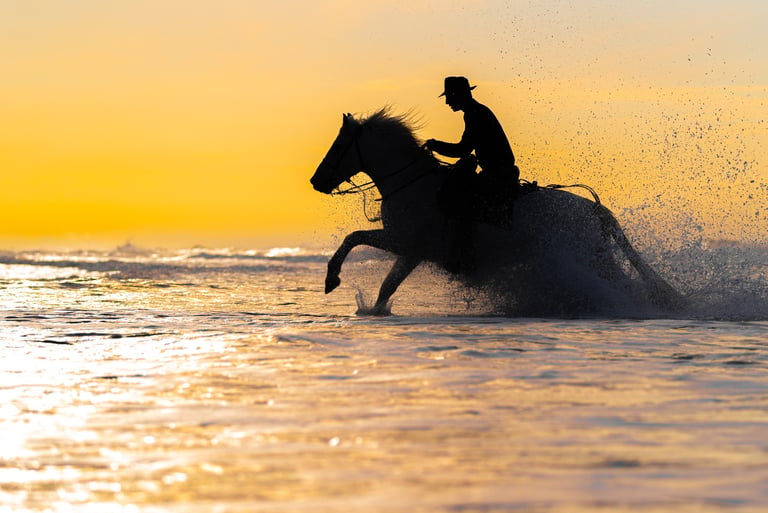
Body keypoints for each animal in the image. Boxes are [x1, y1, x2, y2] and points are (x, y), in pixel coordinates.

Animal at [310, 109, 682, 316]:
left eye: (338, 145)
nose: (316, 181)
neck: (411, 184)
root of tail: (594, 210)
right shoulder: (413, 251)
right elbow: (388, 285)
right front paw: (373, 310)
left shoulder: (402, 240)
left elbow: (354, 238)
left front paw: (332, 279)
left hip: (594, 260)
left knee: (625, 287)